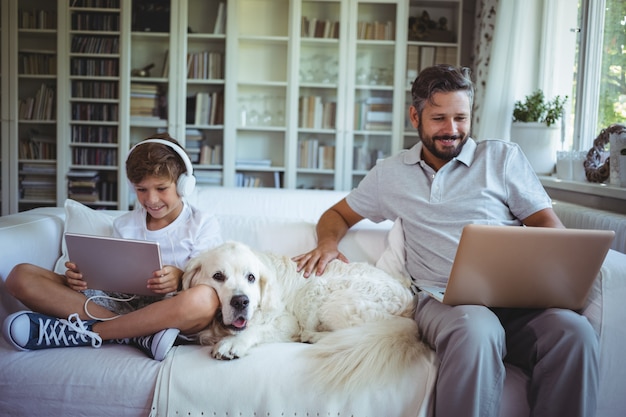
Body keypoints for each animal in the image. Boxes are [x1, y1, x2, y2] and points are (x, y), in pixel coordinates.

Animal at [180, 239, 424, 392]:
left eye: (251, 277)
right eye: (218, 276)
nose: (241, 301)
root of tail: (409, 307)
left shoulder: (288, 322)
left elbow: (256, 329)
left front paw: (232, 344)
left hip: (318, 290)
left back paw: (313, 337)